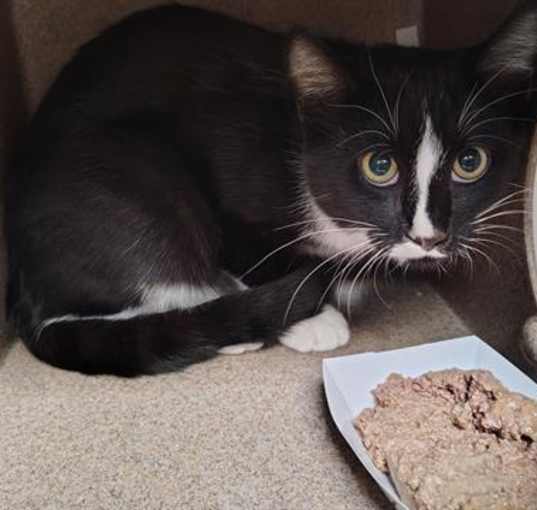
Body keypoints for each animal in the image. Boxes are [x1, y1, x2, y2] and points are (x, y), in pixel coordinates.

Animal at [7, 0, 536, 374]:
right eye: (379, 165)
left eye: (470, 162)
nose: (428, 236)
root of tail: (27, 288)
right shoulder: (229, 163)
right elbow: (253, 252)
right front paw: (314, 313)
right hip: (130, 175)